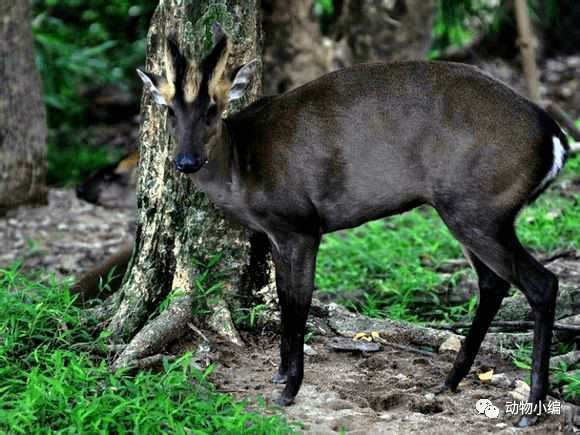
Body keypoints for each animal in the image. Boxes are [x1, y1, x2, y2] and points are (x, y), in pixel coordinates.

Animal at [138, 31, 568, 430]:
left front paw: (290, 389)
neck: (241, 165)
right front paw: (279, 374)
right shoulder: (275, 233)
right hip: (471, 211)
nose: (186, 161)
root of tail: (556, 139)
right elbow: (283, 298)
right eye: (170, 110)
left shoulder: (301, 225)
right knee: (493, 284)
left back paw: (531, 408)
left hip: (479, 207)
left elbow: (299, 303)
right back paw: (449, 382)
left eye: (212, 108)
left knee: (542, 283)